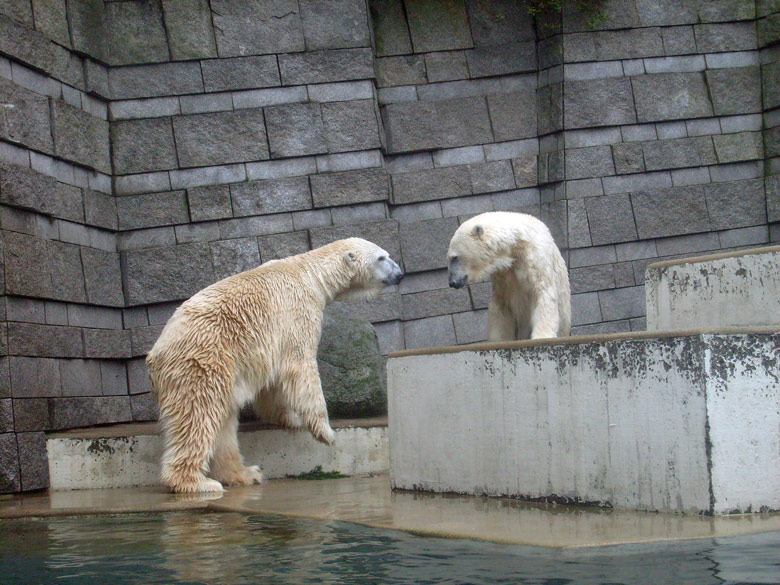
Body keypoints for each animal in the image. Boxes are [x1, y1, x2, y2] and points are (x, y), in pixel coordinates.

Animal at [146, 237, 406, 492]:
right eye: (381, 257)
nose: (400, 274)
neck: (312, 275)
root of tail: (154, 356)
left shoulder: (270, 344)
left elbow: (272, 383)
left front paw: (290, 418)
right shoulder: (299, 314)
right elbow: (301, 368)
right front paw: (326, 433)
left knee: (224, 424)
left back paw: (246, 473)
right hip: (203, 363)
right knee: (199, 415)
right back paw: (197, 482)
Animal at [448, 213, 568, 342]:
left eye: (454, 257)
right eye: (450, 258)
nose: (452, 282)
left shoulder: (536, 259)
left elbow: (543, 294)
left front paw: (542, 336)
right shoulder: (503, 275)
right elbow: (501, 307)